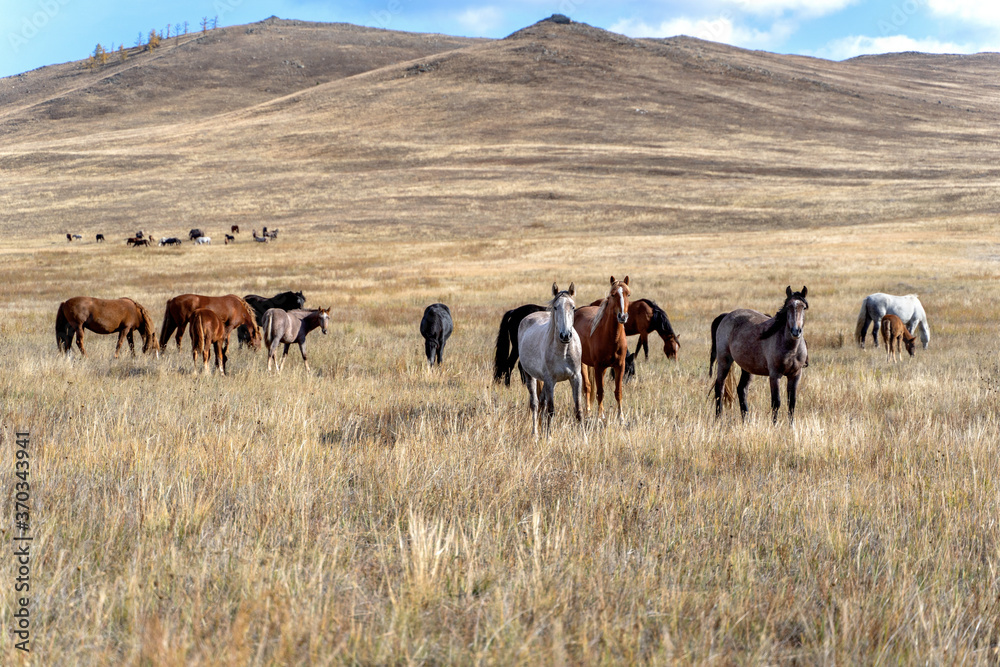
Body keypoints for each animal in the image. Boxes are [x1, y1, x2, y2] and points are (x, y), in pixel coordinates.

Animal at [516, 284, 584, 436]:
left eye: (573, 307)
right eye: (555, 307)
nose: (565, 335)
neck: (563, 350)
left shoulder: (576, 378)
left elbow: (578, 410)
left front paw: (584, 438)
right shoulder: (550, 379)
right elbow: (551, 410)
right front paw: (548, 437)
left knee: (542, 402)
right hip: (530, 376)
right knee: (535, 404)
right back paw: (535, 434)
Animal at [576, 276, 628, 422]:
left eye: (628, 294)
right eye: (613, 294)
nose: (622, 317)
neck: (611, 337)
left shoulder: (619, 365)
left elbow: (618, 391)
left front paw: (621, 416)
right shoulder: (598, 366)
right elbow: (600, 391)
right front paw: (599, 417)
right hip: (582, 364)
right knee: (587, 387)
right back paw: (588, 412)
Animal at [708, 286, 808, 422]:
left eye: (803, 307)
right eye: (788, 307)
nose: (795, 331)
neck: (791, 349)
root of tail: (726, 315)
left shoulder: (795, 375)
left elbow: (791, 403)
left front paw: (791, 425)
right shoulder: (775, 375)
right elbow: (776, 402)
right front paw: (774, 425)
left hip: (747, 368)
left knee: (742, 389)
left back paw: (746, 420)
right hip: (724, 361)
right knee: (719, 388)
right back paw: (718, 419)